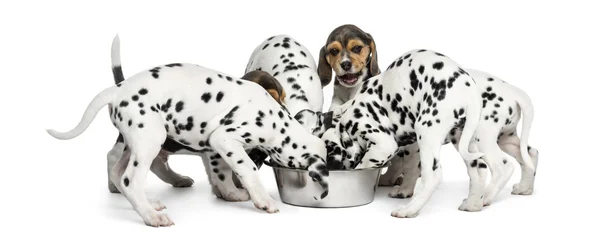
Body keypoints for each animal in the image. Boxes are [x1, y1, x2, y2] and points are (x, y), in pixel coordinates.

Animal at [45, 56, 330, 227]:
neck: (275, 121)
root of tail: (116, 90)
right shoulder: (224, 140)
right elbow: (244, 169)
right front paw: (259, 199)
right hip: (150, 140)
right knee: (129, 179)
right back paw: (152, 216)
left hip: (136, 142)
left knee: (117, 171)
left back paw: (150, 202)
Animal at [104, 35, 288, 202]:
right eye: (273, 96)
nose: (285, 110)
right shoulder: (217, 152)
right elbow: (225, 174)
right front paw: (233, 193)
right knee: (112, 155)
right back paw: (115, 186)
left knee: (157, 163)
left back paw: (178, 179)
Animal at [384, 68, 540, 207]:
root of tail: (513, 90)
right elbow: (396, 163)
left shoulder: (415, 145)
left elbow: (409, 167)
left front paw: (404, 190)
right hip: (505, 139)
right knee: (530, 153)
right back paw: (524, 188)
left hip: (483, 138)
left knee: (503, 167)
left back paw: (484, 198)